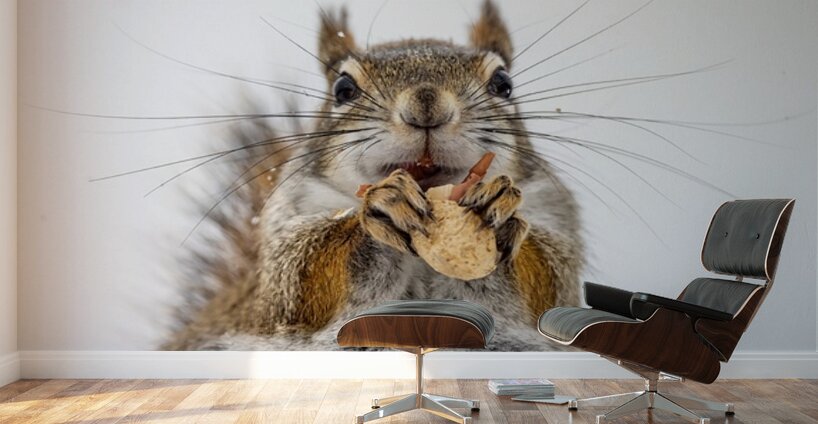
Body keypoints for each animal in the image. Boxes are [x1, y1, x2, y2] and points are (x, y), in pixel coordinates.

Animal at [163, 0, 583, 351]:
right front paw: (380, 210)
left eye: (503, 84)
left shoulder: (556, 217)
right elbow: (295, 283)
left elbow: (549, 283)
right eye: (343, 88)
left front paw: (497, 214)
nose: (426, 104)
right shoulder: (281, 248)